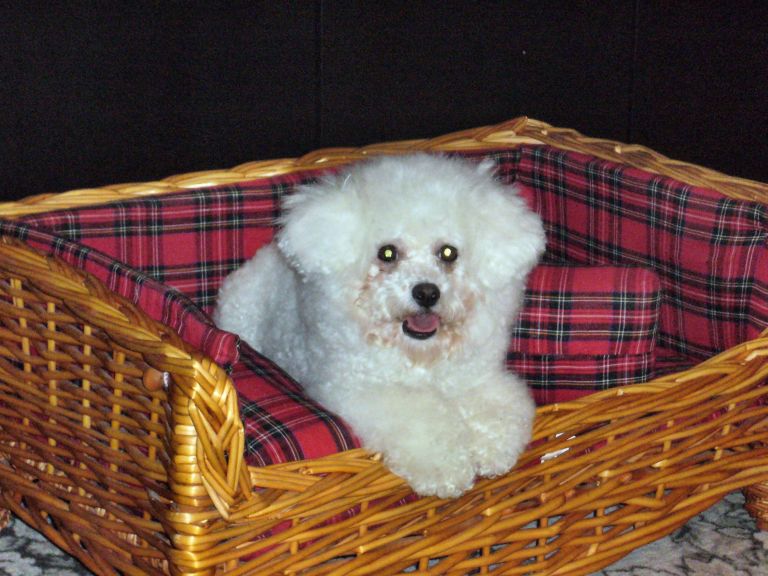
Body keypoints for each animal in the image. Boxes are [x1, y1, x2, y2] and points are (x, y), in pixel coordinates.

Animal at [214, 153, 546, 497]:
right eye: (387, 253)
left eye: (448, 252)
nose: (427, 292)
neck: (419, 356)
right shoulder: (358, 390)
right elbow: (422, 421)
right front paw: (446, 467)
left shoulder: (475, 378)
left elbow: (498, 407)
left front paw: (493, 447)